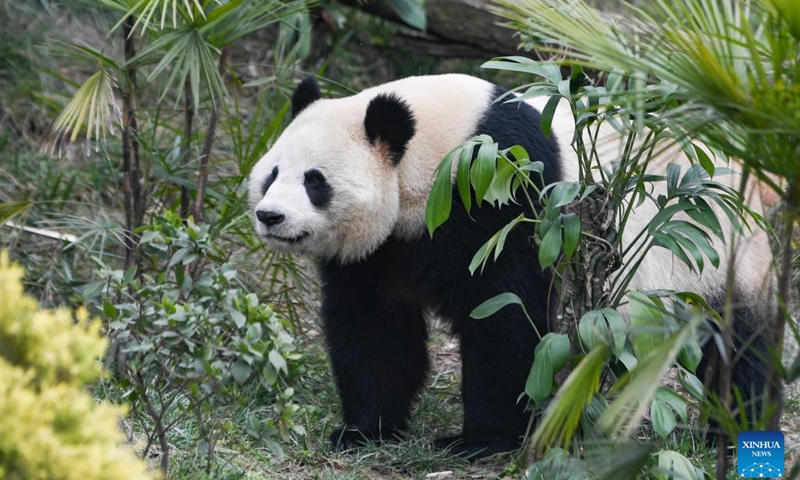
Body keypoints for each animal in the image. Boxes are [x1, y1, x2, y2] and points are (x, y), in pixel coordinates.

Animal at [250, 73, 776, 460]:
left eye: (314, 181)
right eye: (272, 174)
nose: (269, 216)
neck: (429, 149)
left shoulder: (497, 190)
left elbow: (505, 314)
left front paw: (480, 441)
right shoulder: (384, 250)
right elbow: (375, 328)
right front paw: (363, 430)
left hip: (715, 253)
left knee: (736, 341)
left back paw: (733, 430)